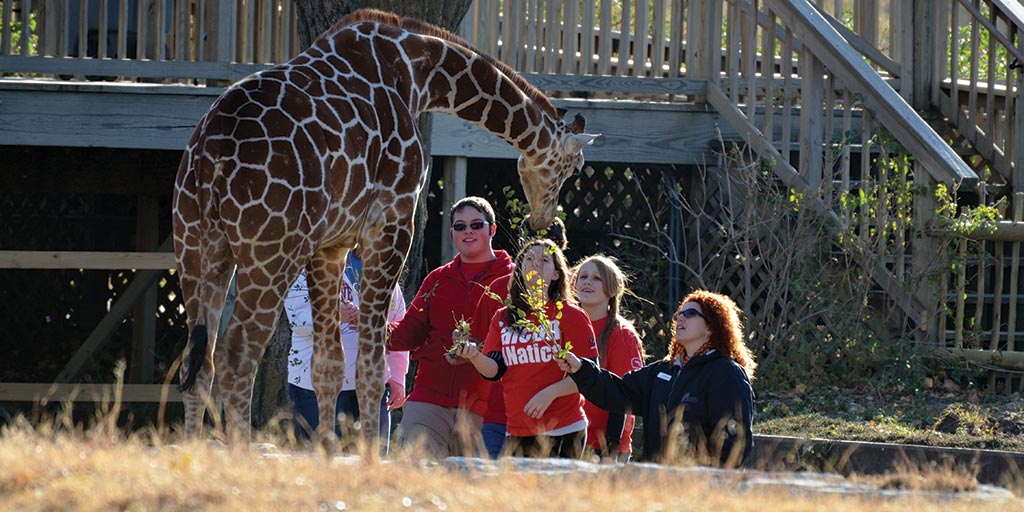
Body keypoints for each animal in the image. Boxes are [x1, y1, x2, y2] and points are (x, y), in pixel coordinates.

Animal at [171, 7, 598, 440]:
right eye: (574, 167)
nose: (543, 220)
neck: (419, 73)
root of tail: (209, 152)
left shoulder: (331, 244)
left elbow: (329, 365)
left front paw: (327, 448)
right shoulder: (391, 223)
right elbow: (372, 367)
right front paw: (368, 450)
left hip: (197, 246)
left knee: (198, 361)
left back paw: (196, 448)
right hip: (271, 251)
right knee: (237, 356)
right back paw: (236, 447)